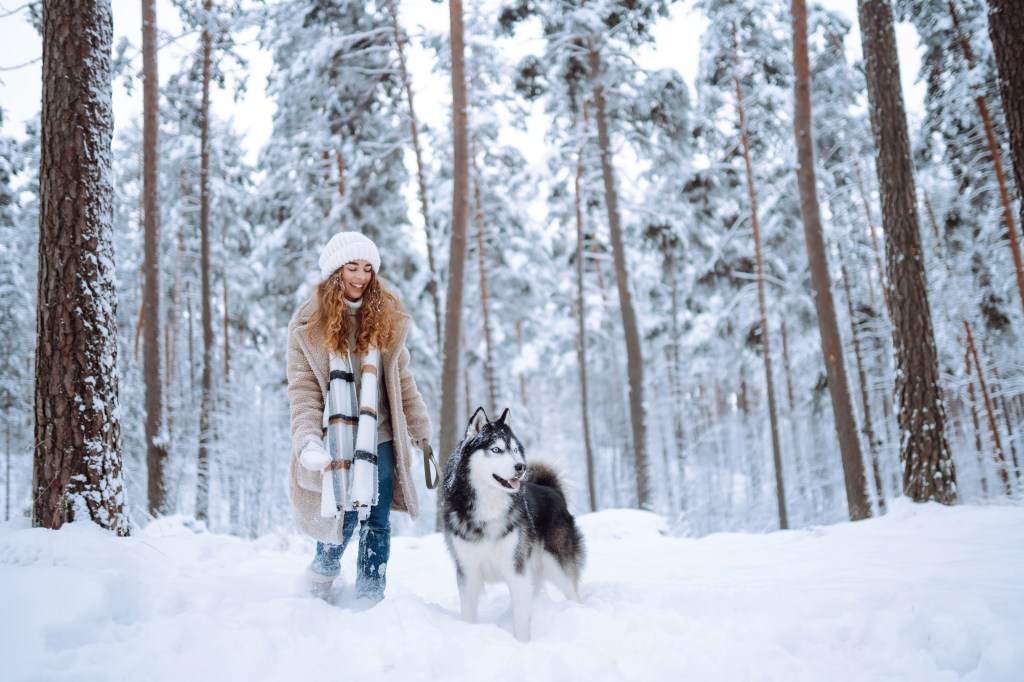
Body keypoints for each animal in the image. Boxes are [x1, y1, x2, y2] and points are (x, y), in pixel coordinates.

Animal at [440, 405, 585, 638]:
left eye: (515, 449)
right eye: (496, 449)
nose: (521, 467)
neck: (489, 507)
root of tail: (552, 490)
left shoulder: (516, 569)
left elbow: (521, 619)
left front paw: (522, 642)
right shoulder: (468, 572)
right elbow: (469, 615)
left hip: (556, 565)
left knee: (572, 593)